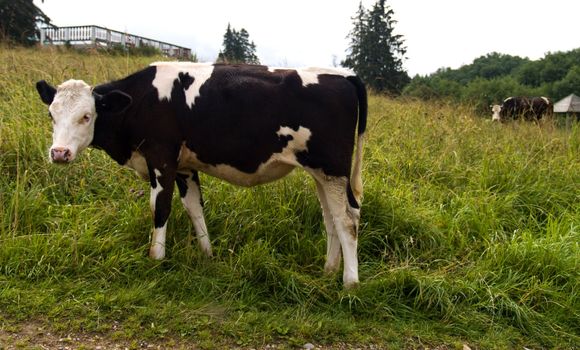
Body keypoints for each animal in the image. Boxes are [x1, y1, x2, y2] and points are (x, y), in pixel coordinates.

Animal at [36, 61, 368, 288]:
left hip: (333, 169)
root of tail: (343, 74)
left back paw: (350, 282)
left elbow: (160, 209)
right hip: (321, 174)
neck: (142, 101)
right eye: (51, 114)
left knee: (347, 219)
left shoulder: (162, 160)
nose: (59, 153)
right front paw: (207, 256)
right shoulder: (185, 167)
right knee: (331, 219)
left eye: (86, 116)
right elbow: (194, 208)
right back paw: (328, 270)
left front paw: (156, 259)